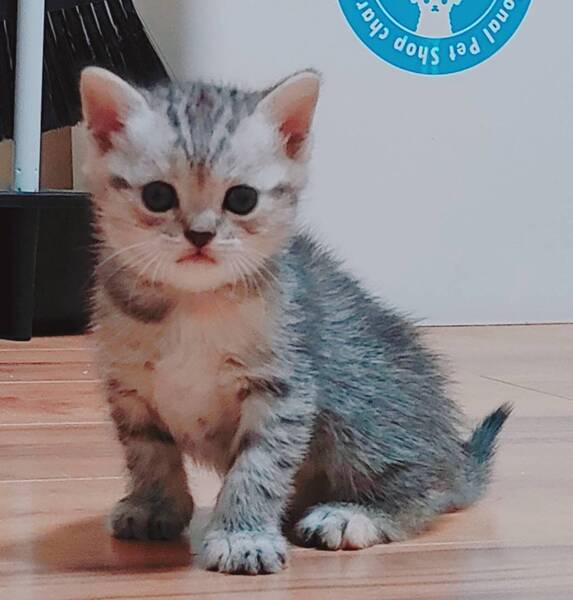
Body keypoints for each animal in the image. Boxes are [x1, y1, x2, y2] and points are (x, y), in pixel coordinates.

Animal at [80, 66, 510, 575]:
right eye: (157, 195)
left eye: (242, 199)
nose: (200, 235)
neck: (195, 303)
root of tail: (455, 455)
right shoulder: (130, 389)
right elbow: (147, 453)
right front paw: (155, 506)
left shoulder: (286, 388)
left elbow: (258, 467)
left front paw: (242, 535)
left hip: (358, 400)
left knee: (426, 487)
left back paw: (353, 514)